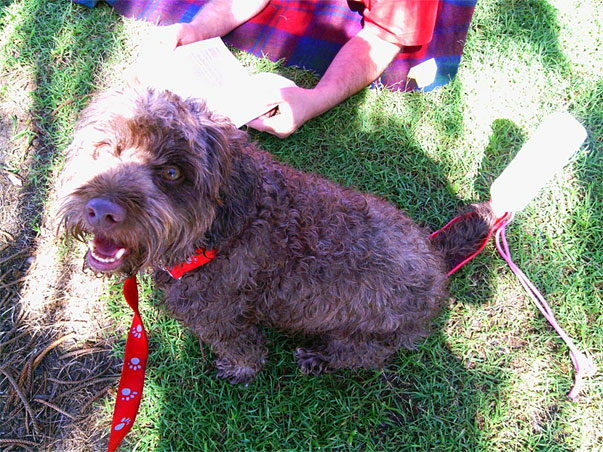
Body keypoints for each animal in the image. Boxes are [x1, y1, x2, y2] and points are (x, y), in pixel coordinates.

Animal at [59, 86, 498, 384]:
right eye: (106, 147)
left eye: (172, 172)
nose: (102, 210)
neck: (221, 234)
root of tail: (436, 262)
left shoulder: (223, 320)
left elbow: (244, 352)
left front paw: (239, 370)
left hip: (366, 337)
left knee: (359, 357)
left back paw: (319, 359)